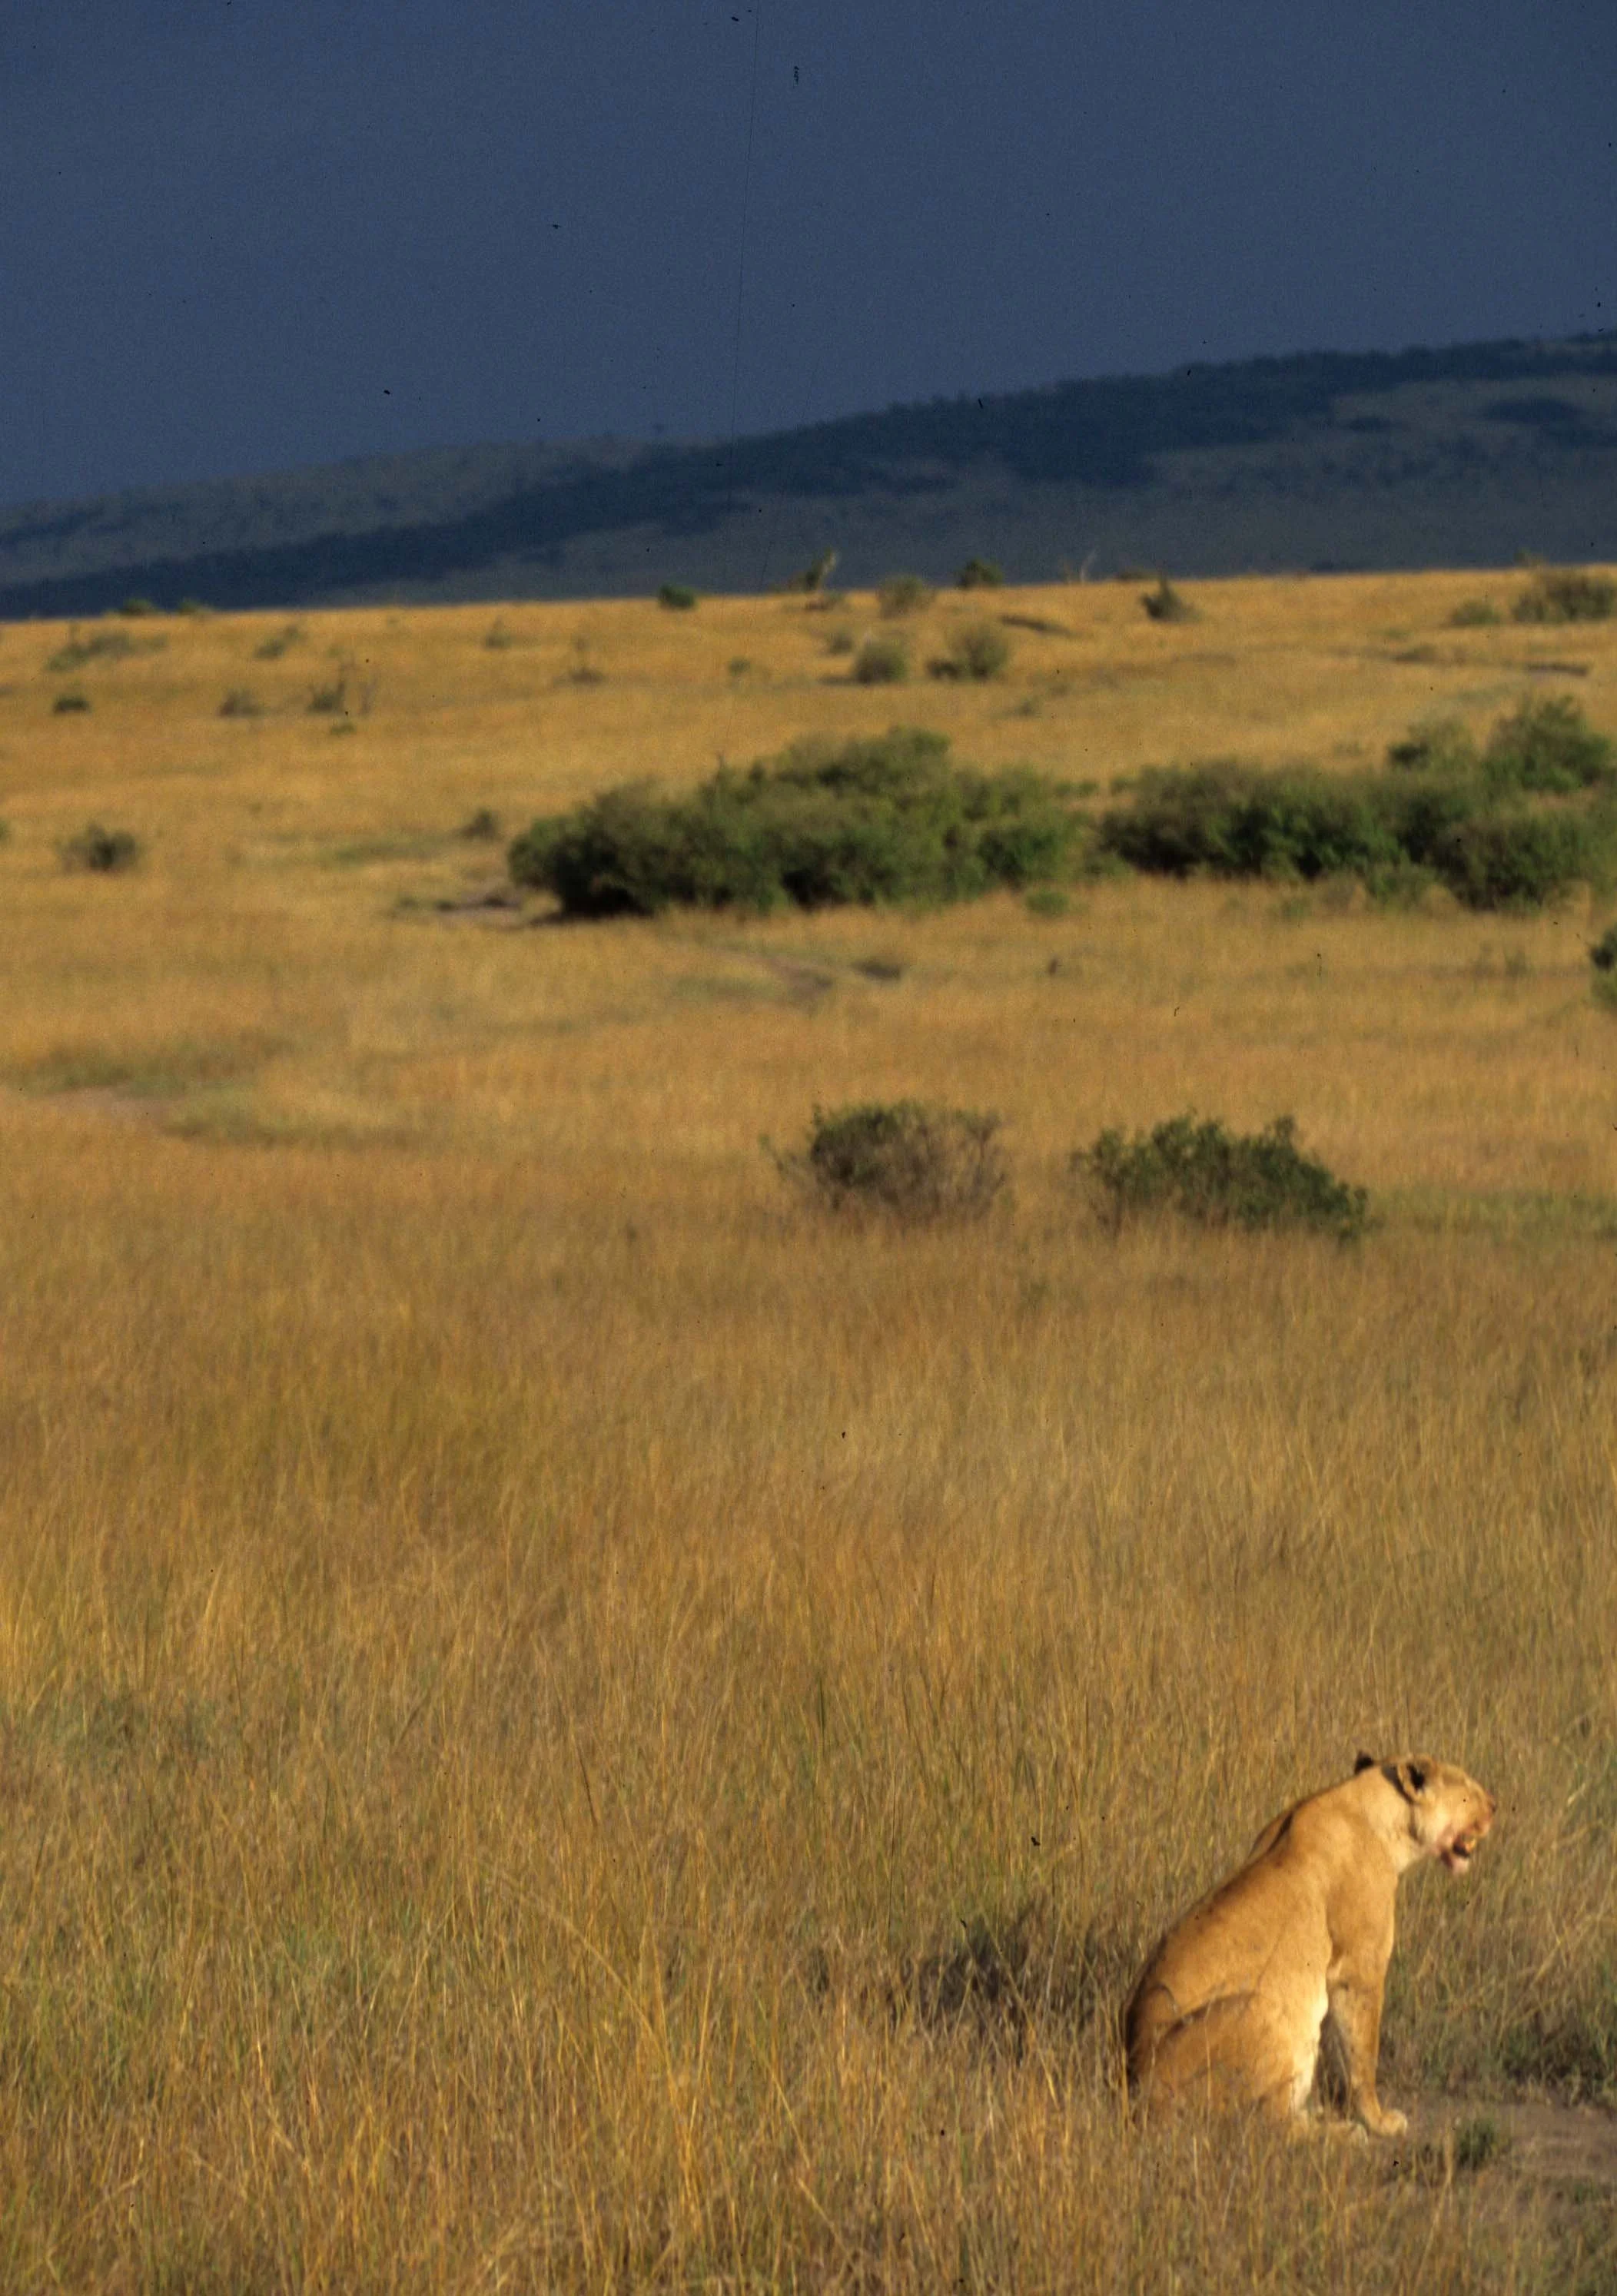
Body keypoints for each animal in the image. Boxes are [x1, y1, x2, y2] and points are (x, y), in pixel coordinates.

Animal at [1124, 1753, 1496, 2136]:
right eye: (1467, 1787)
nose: (1495, 1806)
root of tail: (1136, 2094)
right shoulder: (1360, 1969)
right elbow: (1363, 2054)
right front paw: (1379, 2121)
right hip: (1262, 2010)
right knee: (1270, 2126)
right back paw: (1344, 2133)